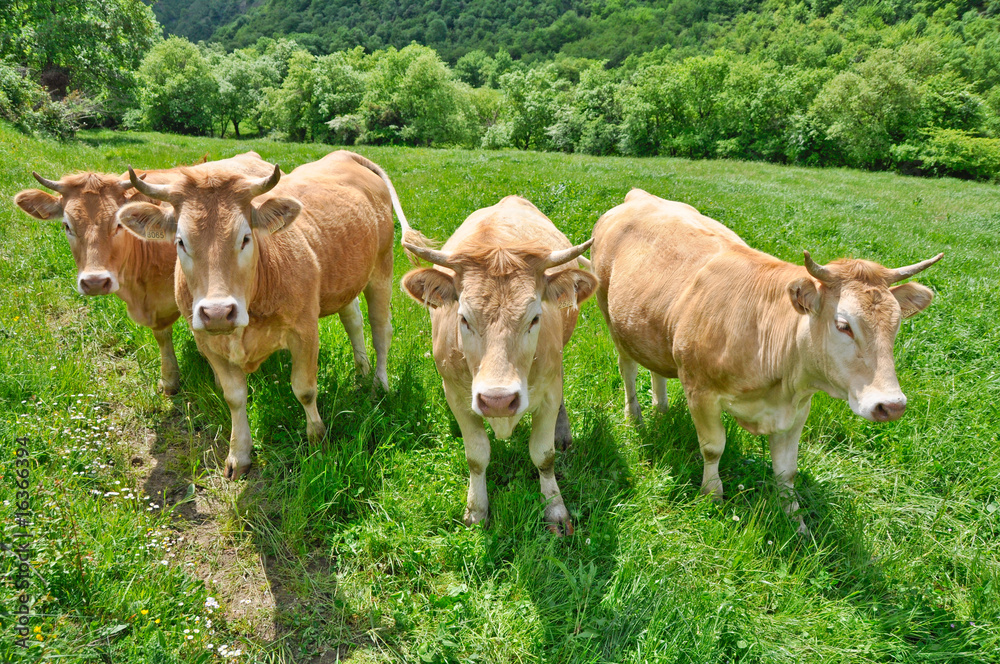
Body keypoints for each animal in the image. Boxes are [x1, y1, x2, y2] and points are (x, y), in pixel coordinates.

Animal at [12, 152, 273, 394]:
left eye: (118, 224)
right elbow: (163, 338)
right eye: (67, 225)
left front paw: (219, 381)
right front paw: (169, 380)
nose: (95, 282)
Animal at [116, 151, 409, 480]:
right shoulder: (207, 342)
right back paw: (361, 370)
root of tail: (344, 155)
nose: (218, 312)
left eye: (245, 237)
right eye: (180, 241)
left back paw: (378, 385)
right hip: (345, 279)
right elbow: (234, 397)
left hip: (382, 267)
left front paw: (318, 439)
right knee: (354, 321)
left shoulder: (305, 331)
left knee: (380, 330)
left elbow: (304, 389)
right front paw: (239, 454)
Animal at [401, 196, 597, 533]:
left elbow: (543, 455)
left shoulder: (547, 394)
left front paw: (555, 509)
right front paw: (477, 510)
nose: (498, 401)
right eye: (464, 318)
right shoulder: (456, 395)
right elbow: (477, 456)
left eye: (534, 318)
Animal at [591, 189, 942, 534]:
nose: (891, 405)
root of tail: (640, 196)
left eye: (896, 324)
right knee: (627, 369)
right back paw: (635, 417)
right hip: (611, 317)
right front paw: (712, 496)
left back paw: (661, 409)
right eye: (843, 325)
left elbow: (787, 470)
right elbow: (713, 447)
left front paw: (795, 520)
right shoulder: (700, 391)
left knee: (656, 371)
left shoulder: (798, 409)